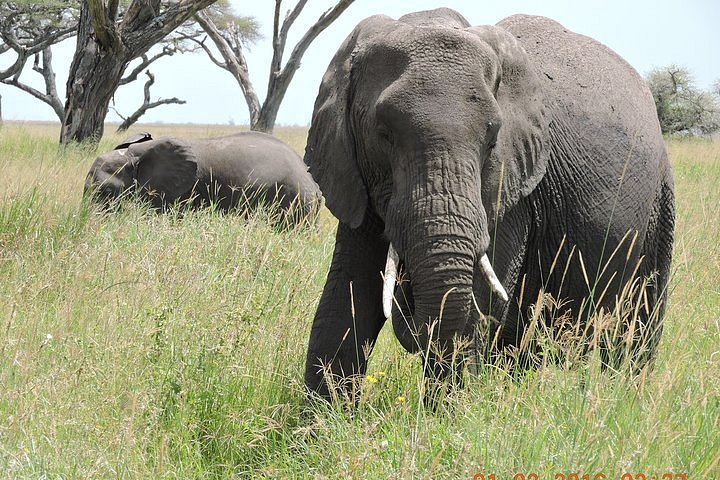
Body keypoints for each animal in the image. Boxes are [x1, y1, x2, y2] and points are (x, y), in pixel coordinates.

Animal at [302, 8, 676, 402]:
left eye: (492, 137)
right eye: (383, 134)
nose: (407, 294)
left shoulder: (512, 191)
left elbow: (472, 312)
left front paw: (443, 417)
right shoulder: (353, 174)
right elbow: (345, 298)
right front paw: (322, 418)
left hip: (660, 203)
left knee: (637, 328)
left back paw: (625, 397)